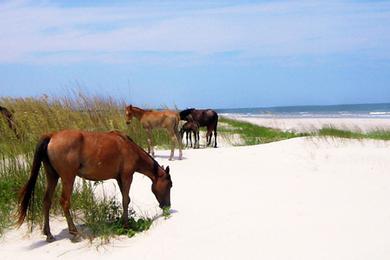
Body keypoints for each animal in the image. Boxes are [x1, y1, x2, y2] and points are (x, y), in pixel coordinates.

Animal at [16, 130, 172, 242]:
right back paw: (74, 232)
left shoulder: (120, 178)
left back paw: (48, 234)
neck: (129, 147)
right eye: (170, 185)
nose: (167, 206)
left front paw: (123, 222)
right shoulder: (127, 176)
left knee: (47, 201)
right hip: (68, 178)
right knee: (65, 202)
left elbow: (125, 200)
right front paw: (127, 226)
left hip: (52, 176)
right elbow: (126, 200)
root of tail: (52, 136)